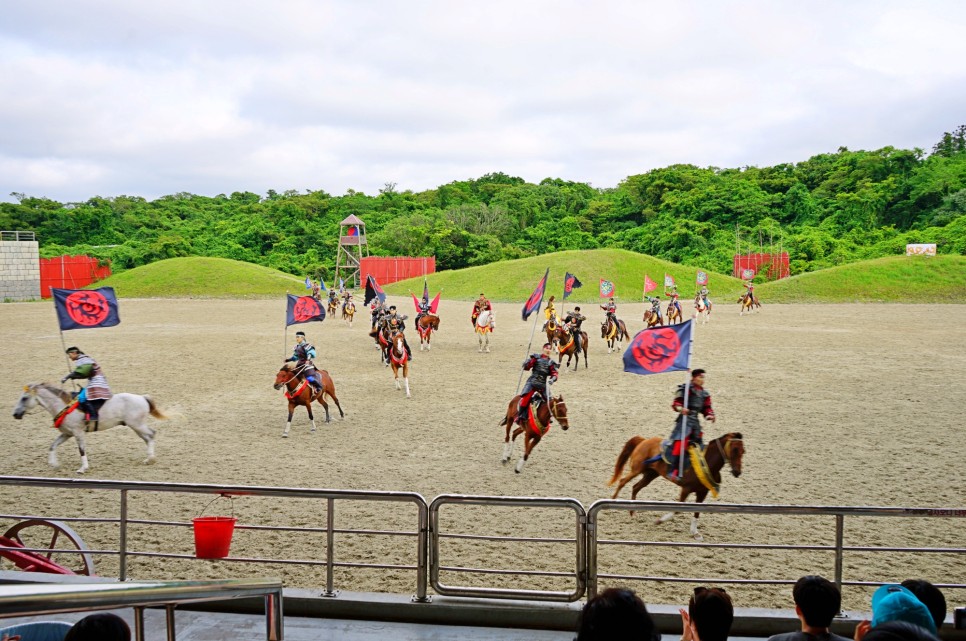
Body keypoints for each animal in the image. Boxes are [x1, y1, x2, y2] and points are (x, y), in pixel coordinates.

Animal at [12, 380, 166, 476]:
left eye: (24, 398)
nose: (15, 414)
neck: (63, 407)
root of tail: (142, 397)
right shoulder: (67, 434)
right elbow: (52, 446)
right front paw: (54, 464)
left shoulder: (78, 433)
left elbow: (81, 450)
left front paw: (83, 468)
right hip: (136, 426)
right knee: (147, 438)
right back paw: (149, 458)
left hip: (137, 425)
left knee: (151, 434)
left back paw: (151, 459)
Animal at [608, 430, 744, 540]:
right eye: (735, 449)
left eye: (743, 451)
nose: (737, 472)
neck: (706, 462)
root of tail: (644, 440)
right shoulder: (686, 489)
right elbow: (678, 509)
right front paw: (659, 521)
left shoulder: (702, 492)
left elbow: (697, 511)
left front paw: (695, 533)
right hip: (637, 469)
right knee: (622, 481)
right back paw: (613, 501)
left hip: (650, 475)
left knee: (635, 487)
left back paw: (632, 513)